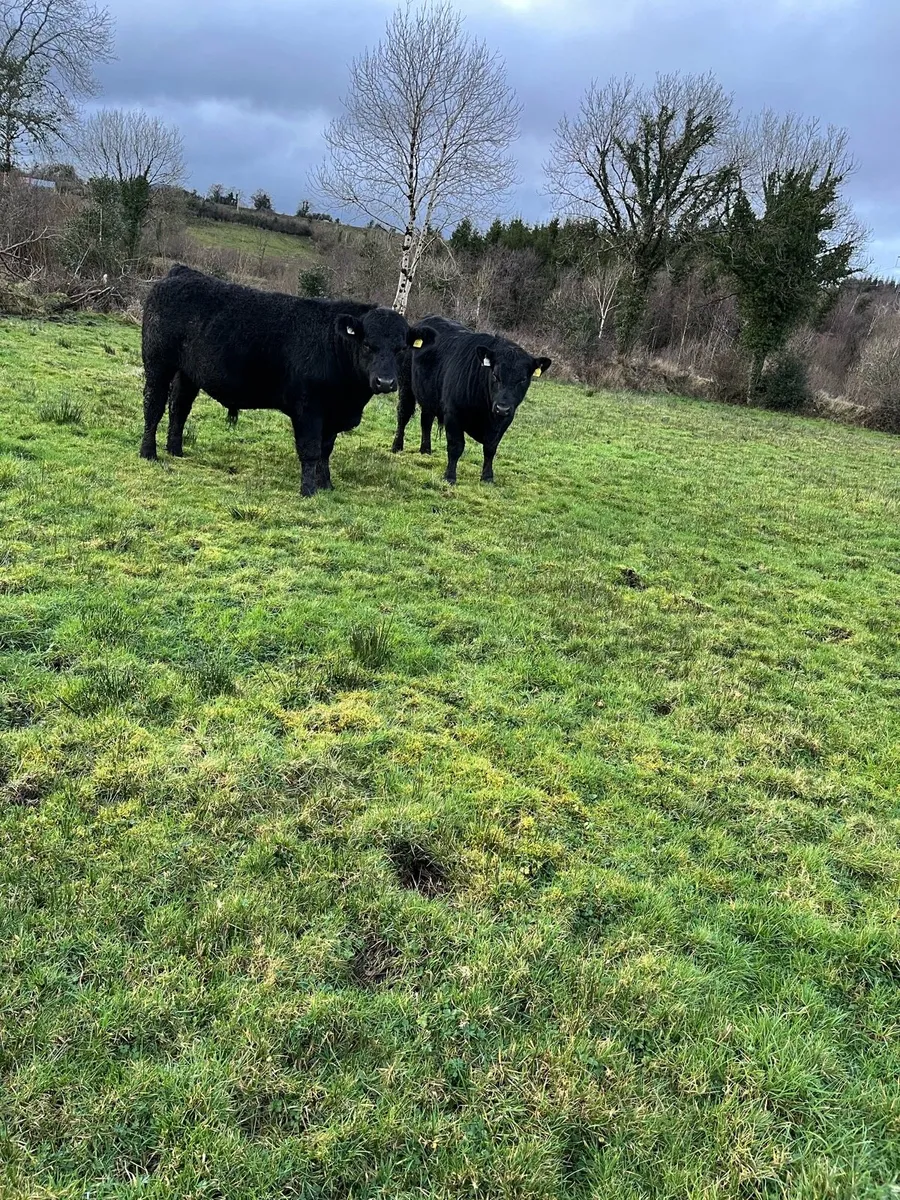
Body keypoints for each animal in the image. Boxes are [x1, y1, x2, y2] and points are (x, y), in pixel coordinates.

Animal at [139, 266, 435, 497]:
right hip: (157, 363)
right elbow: (311, 450)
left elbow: (326, 450)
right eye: (367, 345)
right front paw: (308, 490)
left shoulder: (332, 414)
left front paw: (326, 485)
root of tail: (182, 273)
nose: (385, 382)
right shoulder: (308, 409)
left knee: (179, 408)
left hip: (188, 373)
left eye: (400, 348)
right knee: (154, 406)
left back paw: (175, 450)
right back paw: (148, 453)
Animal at [392, 315, 551, 485]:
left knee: (426, 420)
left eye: (523, 379)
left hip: (429, 395)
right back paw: (397, 446)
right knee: (403, 415)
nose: (502, 408)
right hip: (406, 385)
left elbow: (490, 448)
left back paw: (426, 450)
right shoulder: (453, 414)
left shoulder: (504, 421)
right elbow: (456, 446)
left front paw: (487, 477)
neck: (485, 411)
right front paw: (450, 476)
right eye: (495, 374)